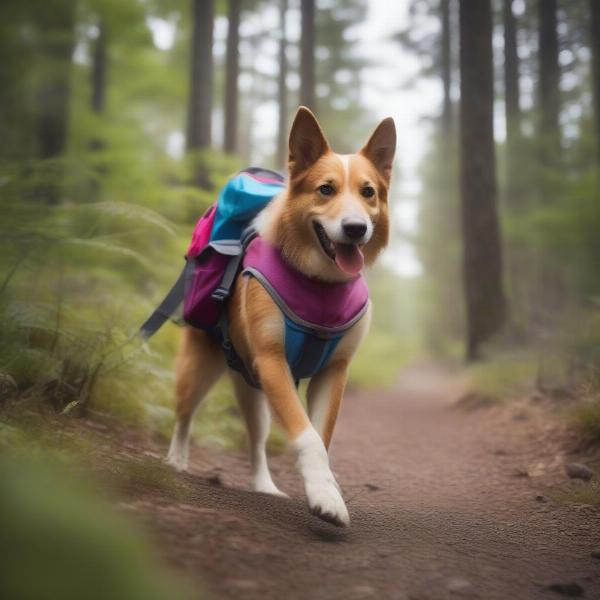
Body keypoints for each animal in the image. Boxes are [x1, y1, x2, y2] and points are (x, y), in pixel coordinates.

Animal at [166, 106, 396, 524]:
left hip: (255, 393)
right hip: (200, 367)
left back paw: (265, 486)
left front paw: (326, 488)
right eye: (326, 189)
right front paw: (325, 496)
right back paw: (176, 458)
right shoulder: (274, 362)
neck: (319, 284)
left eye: (368, 192)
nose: (356, 228)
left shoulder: (333, 371)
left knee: (256, 441)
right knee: (184, 414)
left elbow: (321, 437)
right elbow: (308, 438)